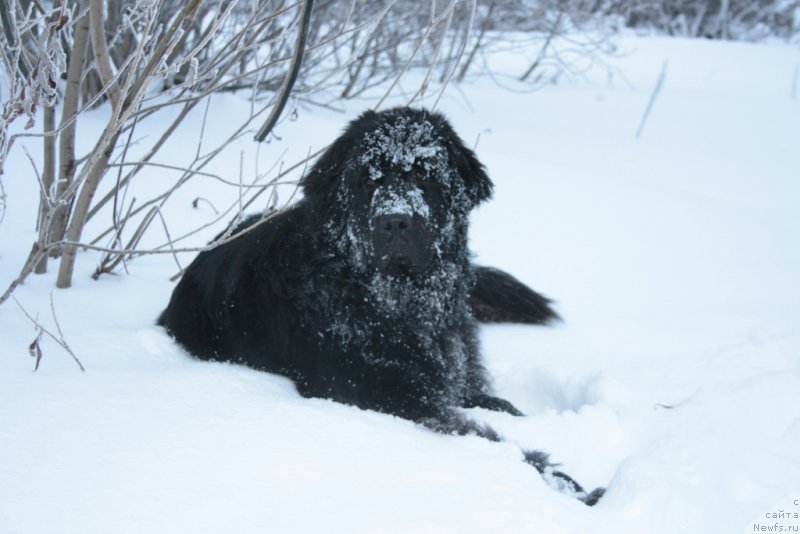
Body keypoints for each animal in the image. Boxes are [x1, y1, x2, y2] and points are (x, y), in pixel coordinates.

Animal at [159, 108, 604, 506]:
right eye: (367, 179)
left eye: (423, 173)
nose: (395, 221)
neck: (400, 303)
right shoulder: (388, 396)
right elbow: (494, 442)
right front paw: (571, 489)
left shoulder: (457, 378)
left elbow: (504, 408)